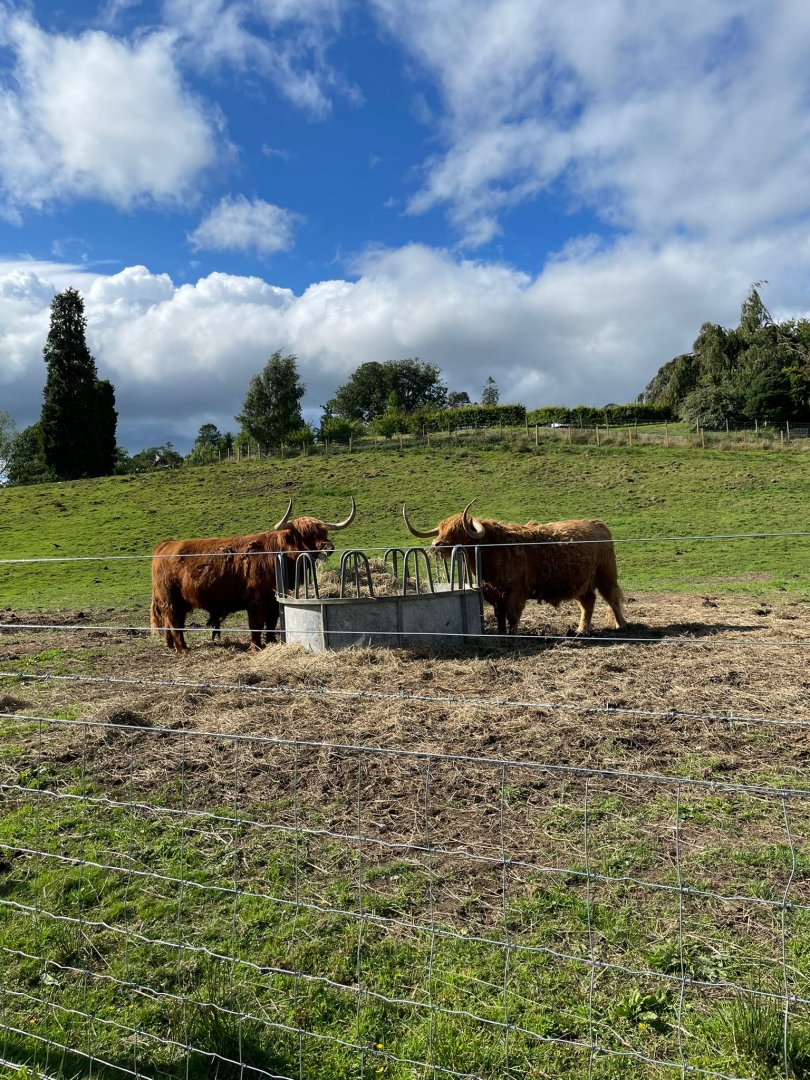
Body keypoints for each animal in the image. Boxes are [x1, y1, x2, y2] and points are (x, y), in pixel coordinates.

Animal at [150, 498, 355, 653]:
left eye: (324, 532)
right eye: (305, 534)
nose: (328, 547)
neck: (278, 554)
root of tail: (165, 545)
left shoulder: (273, 600)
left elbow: (271, 623)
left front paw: (272, 642)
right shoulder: (256, 601)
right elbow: (256, 623)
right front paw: (255, 647)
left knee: (170, 623)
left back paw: (170, 645)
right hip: (171, 600)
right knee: (174, 623)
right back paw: (183, 649)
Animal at [402, 500, 626, 636]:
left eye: (458, 532)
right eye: (441, 529)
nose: (436, 544)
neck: (491, 551)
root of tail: (597, 524)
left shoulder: (516, 593)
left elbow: (512, 616)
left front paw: (514, 634)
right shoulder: (493, 593)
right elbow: (500, 615)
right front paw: (501, 633)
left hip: (605, 576)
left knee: (612, 599)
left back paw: (621, 625)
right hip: (580, 582)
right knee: (588, 603)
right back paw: (581, 629)